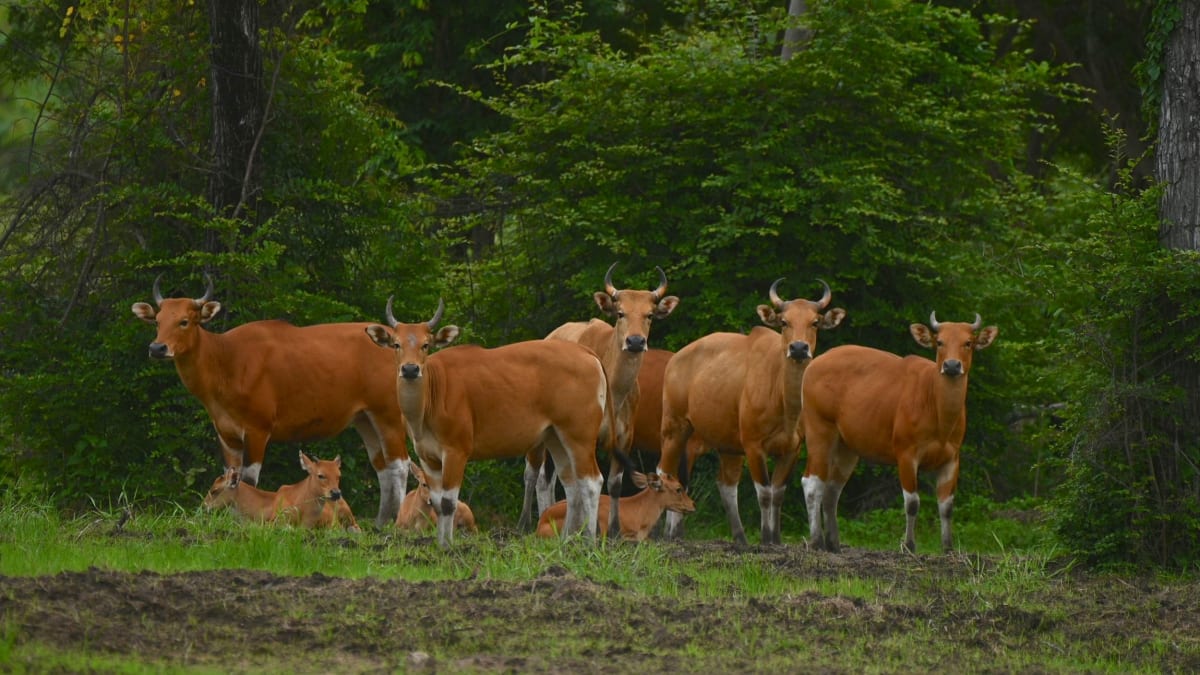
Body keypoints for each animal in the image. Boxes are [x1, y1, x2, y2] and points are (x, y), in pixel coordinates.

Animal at [132, 274, 411, 527]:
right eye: (157, 321)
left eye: (185, 321)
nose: (157, 348)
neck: (226, 362)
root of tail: (395, 341)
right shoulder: (226, 434)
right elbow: (228, 475)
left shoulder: (257, 430)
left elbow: (246, 479)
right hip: (365, 418)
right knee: (383, 467)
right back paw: (380, 522)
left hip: (389, 413)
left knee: (399, 465)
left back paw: (395, 523)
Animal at [365, 298, 606, 547]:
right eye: (396, 344)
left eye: (426, 345)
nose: (410, 369)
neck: (431, 399)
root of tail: (587, 353)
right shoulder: (427, 458)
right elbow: (437, 502)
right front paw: (440, 543)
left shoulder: (456, 451)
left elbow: (448, 502)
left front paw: (447, 546)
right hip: (555, 437)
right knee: (572, 485)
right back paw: (567, 539)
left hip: (580, 435)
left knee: (591, 482)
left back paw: (589, 539)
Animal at [518, 263, 679, 538]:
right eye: (621, 313)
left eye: (649, 315)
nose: (635, 341)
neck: (613, 391)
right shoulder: (585, 436)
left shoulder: (624, 438)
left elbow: (614, 484)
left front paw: (613, 529)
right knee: (533, 473)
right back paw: (525, 522)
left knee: (547, 478)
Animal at [658, 279, 845, 545]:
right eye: (784, 321)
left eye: (815, 322)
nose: (799, 348)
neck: (784, 404)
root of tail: (675, 359)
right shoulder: (753, 445)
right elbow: (764, 492)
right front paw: (765, 539)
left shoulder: (792, 449)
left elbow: (778, 493)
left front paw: (775, 538)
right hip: (675, 427)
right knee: (666, 472)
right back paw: (668, 533)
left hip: (724, 443)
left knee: (722, 484)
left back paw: (739, 538)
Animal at [800, 312, 997, 553]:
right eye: (940, 342)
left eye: (968, 342)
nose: (951, 365)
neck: (938, 415)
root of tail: (814, 364)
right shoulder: (906, 453)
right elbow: (912, 502)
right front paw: (909, 545)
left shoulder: (952, 458)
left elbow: (947, 505)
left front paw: (948, 548)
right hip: (818, 429)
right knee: (812, 483)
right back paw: (816, 541)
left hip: (847, 447)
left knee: (831, 491)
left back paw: (834, 544)